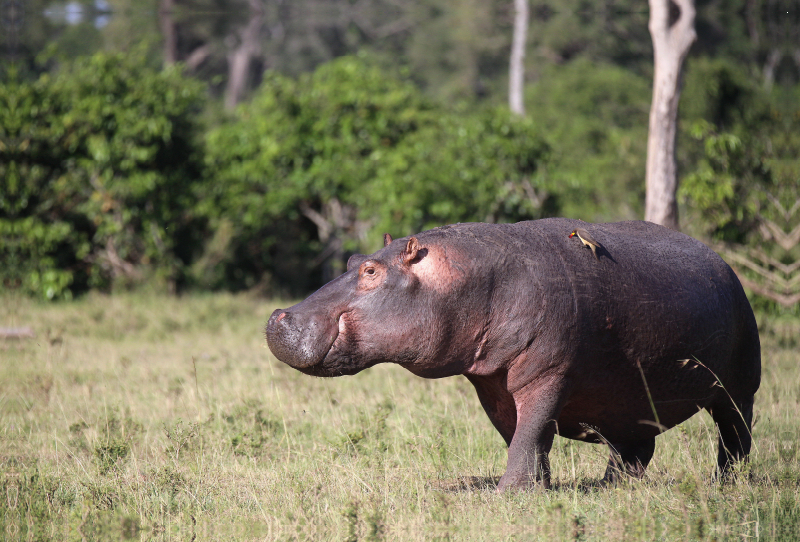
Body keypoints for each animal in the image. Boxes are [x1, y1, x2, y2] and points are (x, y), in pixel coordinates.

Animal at [266, 219, 760, 490]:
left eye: (371, 271)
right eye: (352, 260)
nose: (277, 316)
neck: (467, 277)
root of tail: (725, 264)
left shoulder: (549, 373)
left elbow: (531, 430)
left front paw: (508, 493)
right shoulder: (492, 383)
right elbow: (522, 436)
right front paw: (538, 487)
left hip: (738, 387)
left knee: (734, 437)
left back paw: (724, 485)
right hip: (627, 396)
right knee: (634, 447)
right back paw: (610, 487)